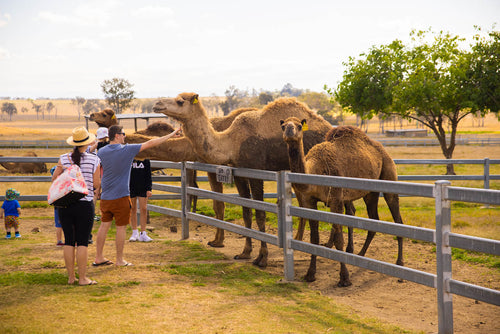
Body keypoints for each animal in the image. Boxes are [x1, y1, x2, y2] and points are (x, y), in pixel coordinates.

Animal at [150, 92, 334, 268]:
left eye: (180, 101)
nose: (157, 104)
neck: (232, 143)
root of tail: (329, 128)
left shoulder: (256, 172)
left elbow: (260, 213)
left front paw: (262, 259)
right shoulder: (239, 173)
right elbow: (246, 212)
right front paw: (245, 252)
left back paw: (327, 245)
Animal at [280, 117, 404, 288]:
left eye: (299, 126)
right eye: (283, 126)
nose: (289, 131)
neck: (316, 170)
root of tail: (382, 149)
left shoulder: (336, 199)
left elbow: (339, 239)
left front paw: (344, 279)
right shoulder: (310, 201)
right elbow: (314, 239)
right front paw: (310, 274)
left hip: (388, 173)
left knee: (398, 219)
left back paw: (399, 265)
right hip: (370, 192)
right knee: (374, 220)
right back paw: (361, 255)